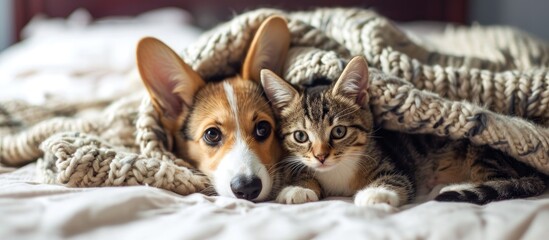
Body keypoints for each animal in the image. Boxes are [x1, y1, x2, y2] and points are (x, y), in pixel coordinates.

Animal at [260, 55, 544, 207]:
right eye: (300, 136)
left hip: (481, 150)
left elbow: (396, 180)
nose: (321, 156)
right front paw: (298, 187)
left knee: (506, 179)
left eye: (339, 132)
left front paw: (375, 193)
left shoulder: (397, 166)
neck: (337, 171)